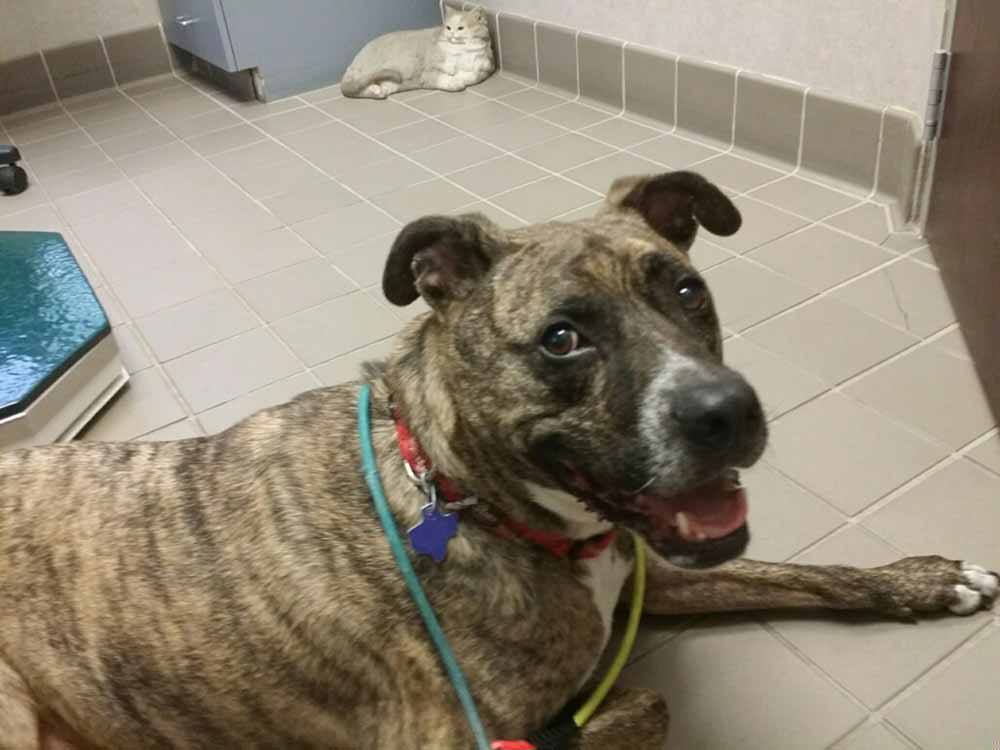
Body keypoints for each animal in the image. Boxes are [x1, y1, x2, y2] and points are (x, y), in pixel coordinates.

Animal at [0, 172, 996, 750]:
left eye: (687, 289)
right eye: (561, 338)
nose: (727, 411)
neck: (461, 495)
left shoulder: (653, 569)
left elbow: (797, 572)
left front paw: (920, 580)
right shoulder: (448, 741)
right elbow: (645, 707)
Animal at [342, 7, 494, 100]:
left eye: (460, 28)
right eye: (448, 27)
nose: (451, 34)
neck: (462, 50)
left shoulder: (485, 67)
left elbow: (472, 75)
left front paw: (461, 77)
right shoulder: (429, 71)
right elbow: (446, 79)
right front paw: (455, 81)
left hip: (390, 84)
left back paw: (376, 90)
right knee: (351, 88)